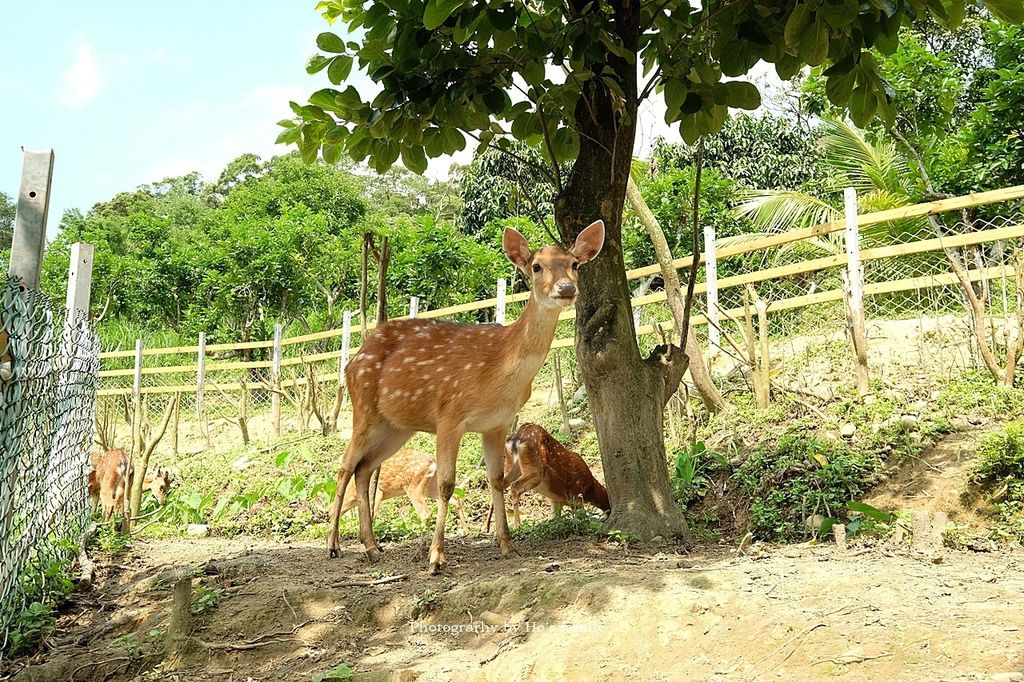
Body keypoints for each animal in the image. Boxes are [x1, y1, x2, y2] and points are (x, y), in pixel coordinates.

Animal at [327, 220, 602, 569]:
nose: (566, 289)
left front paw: (507, 545)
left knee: (363, 469)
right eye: (536, 266)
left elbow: (496, 480)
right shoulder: (449, 415)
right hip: (363, 409)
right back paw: (333, 544)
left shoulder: (497, 423)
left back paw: (372, 546)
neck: (499, 372)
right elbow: (446, 485)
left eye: (575, 264)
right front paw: (436, 557)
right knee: (345, 467)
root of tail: (352, 361)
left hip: (396, 427)